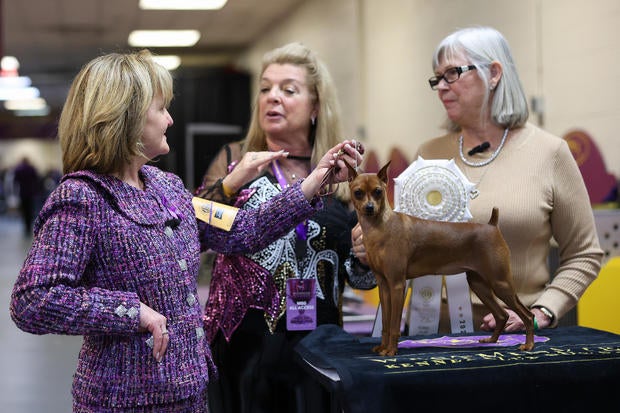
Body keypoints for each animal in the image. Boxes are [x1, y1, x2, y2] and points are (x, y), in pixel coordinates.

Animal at [346, 160, 536, 354]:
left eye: (378, 191)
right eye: (358, 192)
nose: (369, 208)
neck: (381, 227)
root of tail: (492, 225)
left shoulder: (397, 284)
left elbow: (393, 324)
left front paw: (391, 351)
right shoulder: (384, 286)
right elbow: (385, 323)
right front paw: (383, 347)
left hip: (500, 283)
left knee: (527, 315)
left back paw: (528, 345)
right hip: (479, 284)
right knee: (502, 314)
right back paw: (491, 340)